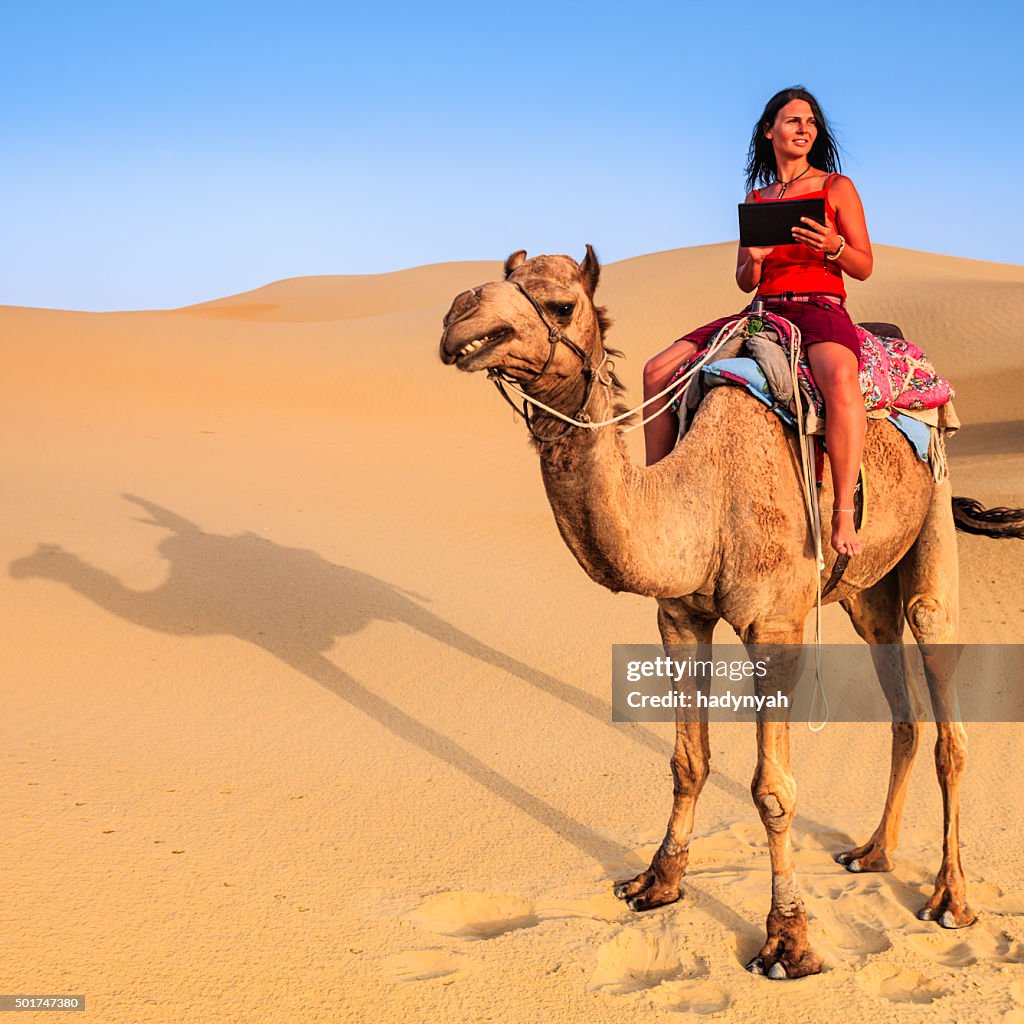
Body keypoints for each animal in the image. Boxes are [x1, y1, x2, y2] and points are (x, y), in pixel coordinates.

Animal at [436, 243, 1019, 978]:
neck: (704, 499)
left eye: (560, 304)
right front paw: (657, 882)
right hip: (864, 591)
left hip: (936, 505)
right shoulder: (679, 617)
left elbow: (773, 790)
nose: (461, 313)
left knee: (944, 694)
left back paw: (950, 898)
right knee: (900, 704)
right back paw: (872, 853)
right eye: (505, 280)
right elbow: (688, 762)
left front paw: (788, 942)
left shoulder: (776, 628)